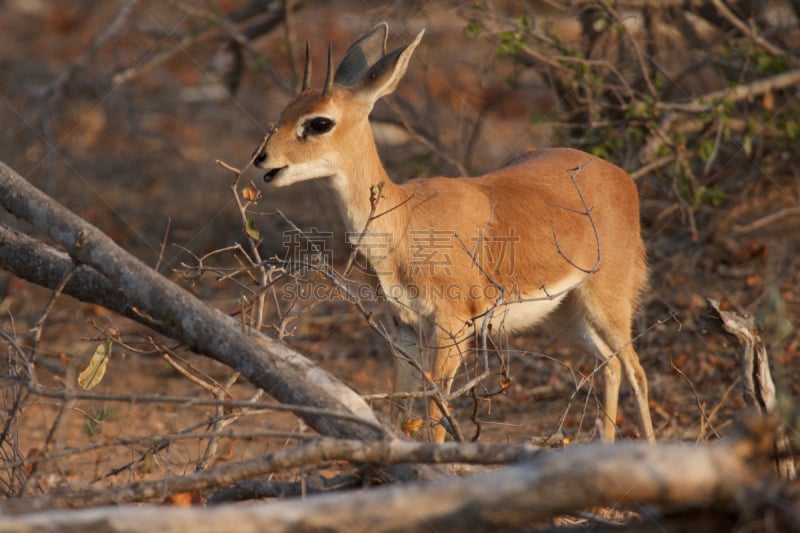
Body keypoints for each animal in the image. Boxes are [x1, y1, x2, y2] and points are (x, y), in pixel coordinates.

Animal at [256, 22, 656, 442]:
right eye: (285, 111)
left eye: (319, 122)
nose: (262, 159)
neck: (404, 221)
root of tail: (621, 177)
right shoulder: (405, 325)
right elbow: (401, 404)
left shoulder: (452, 326)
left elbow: (436, 409)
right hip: (564, 313)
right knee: (610, 365)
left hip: (607, 302)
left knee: (637, 371)